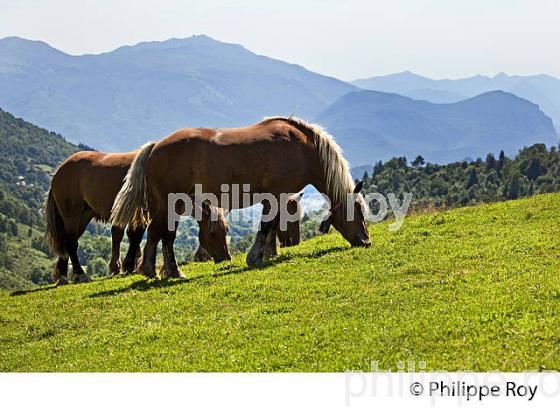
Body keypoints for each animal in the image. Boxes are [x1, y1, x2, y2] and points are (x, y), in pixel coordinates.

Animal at [44, 149, 231, 284]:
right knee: (70, 242)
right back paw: (80, 274)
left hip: (83, 215)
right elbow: (139, 235)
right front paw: (131, 265)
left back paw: (62, 275)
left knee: (68, 241)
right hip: (72, 215)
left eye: (226, 231)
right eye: (213, 233)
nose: (226, 259)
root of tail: (60, 170)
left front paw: (131, 265)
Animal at [111, 116, 370, 278]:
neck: (302, 147)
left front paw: (267, 254)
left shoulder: (275, 198)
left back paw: (158, 270)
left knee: (160, 234)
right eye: (358, 211)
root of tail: (155, 147)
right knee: (163, 234)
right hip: (171, 203)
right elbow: (267, 225)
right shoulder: (276, 195)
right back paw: (163, 271)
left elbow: (271, 226)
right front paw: (255, 257)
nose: (366, 241)